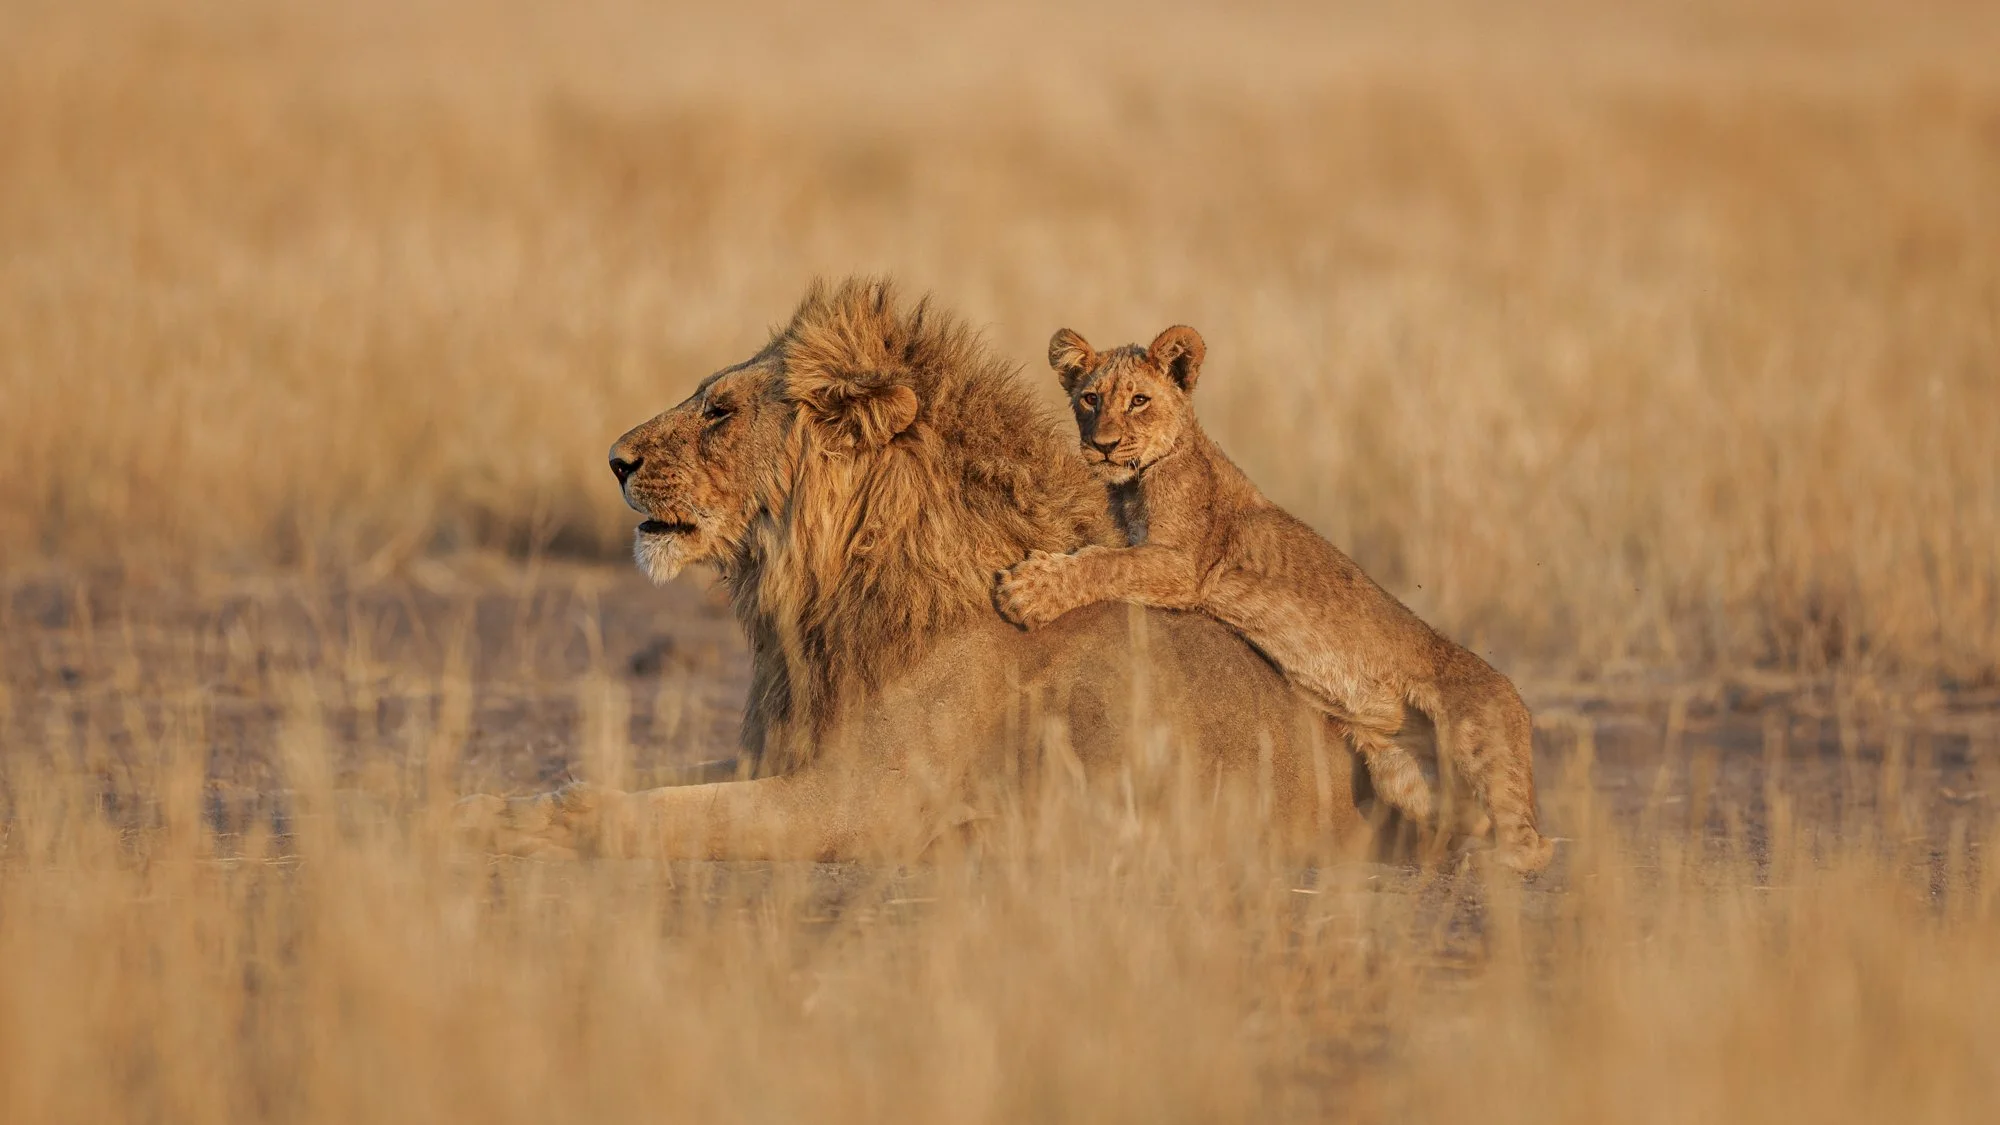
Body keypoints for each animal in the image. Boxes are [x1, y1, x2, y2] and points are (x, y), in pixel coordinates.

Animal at [455, 279, 1377, 861]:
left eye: (720, 411)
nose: (615, 460)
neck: (825, 596)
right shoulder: (778, 760)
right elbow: (622, 779)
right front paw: (484, 807)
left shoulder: (855, 805)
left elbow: (650, 813)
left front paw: (522, 831)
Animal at [992, 325, 1556, 873]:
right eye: (1090, 398)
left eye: (1138, 400)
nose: (1103, 446)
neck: (1138, 479)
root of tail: (1517, 699)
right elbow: (1100, 554)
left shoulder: (1181, 566)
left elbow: (1102, 562)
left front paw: (1026, 592)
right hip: (1407, 777)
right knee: (1469, 817)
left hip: (1477, 736)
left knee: (1533, 840)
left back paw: (1492, 863)